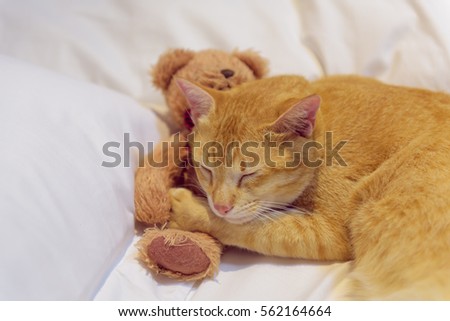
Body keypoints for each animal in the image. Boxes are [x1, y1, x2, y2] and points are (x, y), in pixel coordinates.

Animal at [167, 74, 448, 298]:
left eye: (249, 174)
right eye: (206, 168)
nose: (220, 206)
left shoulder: (329, 233)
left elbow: (255, 230)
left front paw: (190, 209)